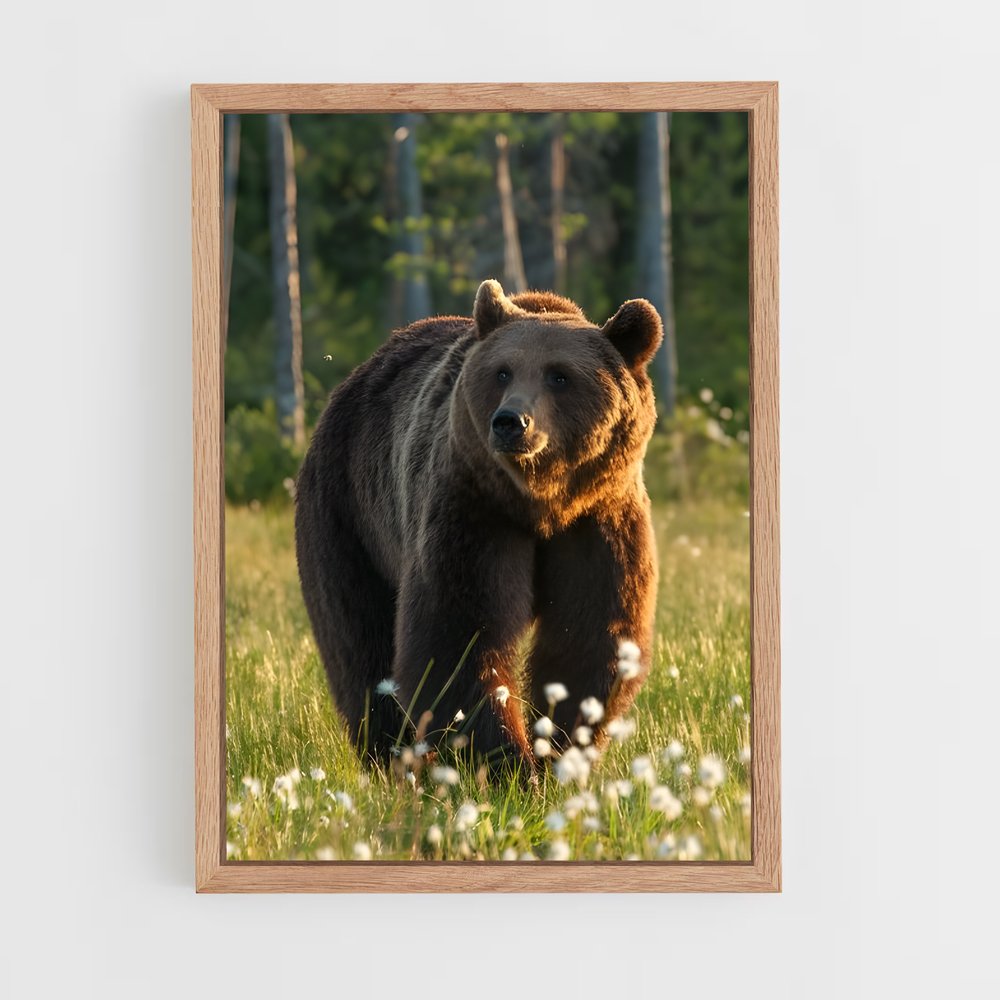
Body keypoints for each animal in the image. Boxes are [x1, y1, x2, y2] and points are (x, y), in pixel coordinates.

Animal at [294, 279, 662, 770]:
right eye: (503, 372)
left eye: (560, 375)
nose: (510, 422)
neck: (541, 502)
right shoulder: (473, 510)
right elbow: (458, 635)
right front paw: (509, 762)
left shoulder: (600, 518)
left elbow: (590, 635)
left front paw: (558, 749)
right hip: (348, 515)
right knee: (359, 640)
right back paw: (394, 758)